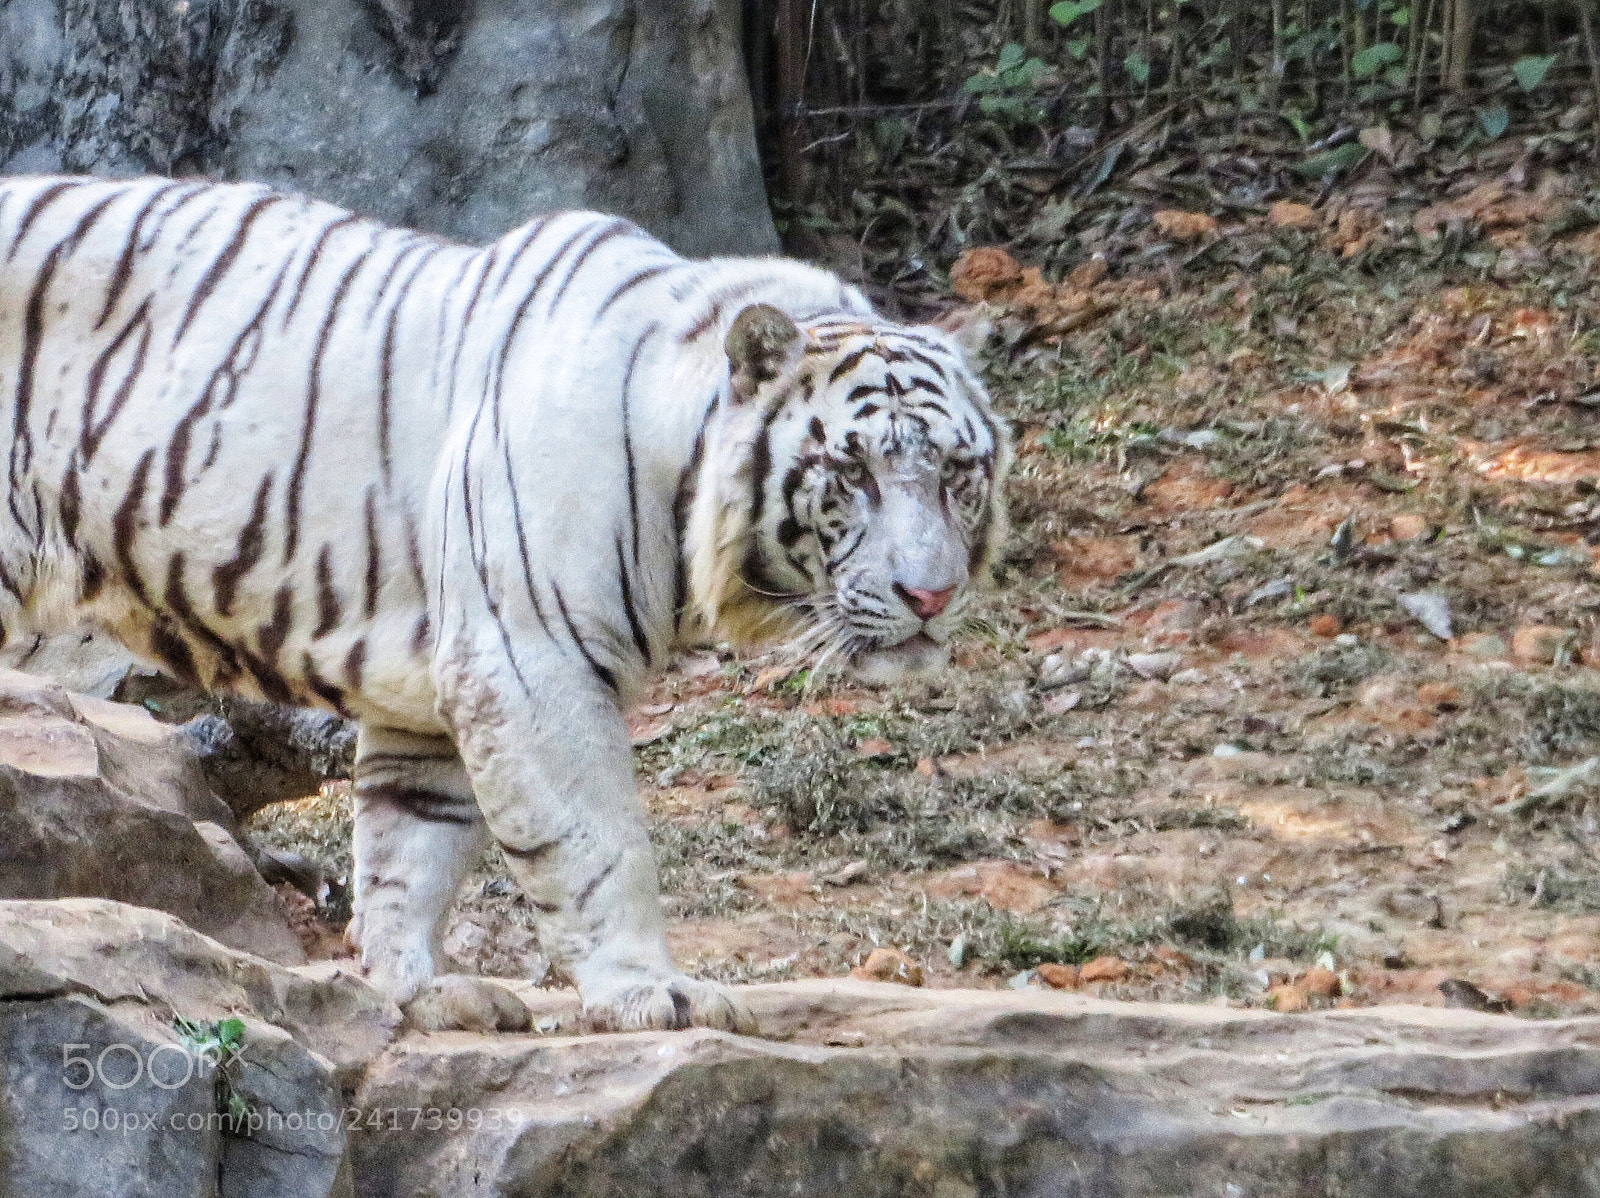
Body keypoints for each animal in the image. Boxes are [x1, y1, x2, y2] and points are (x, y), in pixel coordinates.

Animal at [0, 175, 1009, 1033]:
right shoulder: (528, 659)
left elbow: (408, 849)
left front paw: (420, 991)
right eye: (852, 471)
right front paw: (651, 992)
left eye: (958, 472)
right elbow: (599, 848)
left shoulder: (427, 688)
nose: (932, 592)